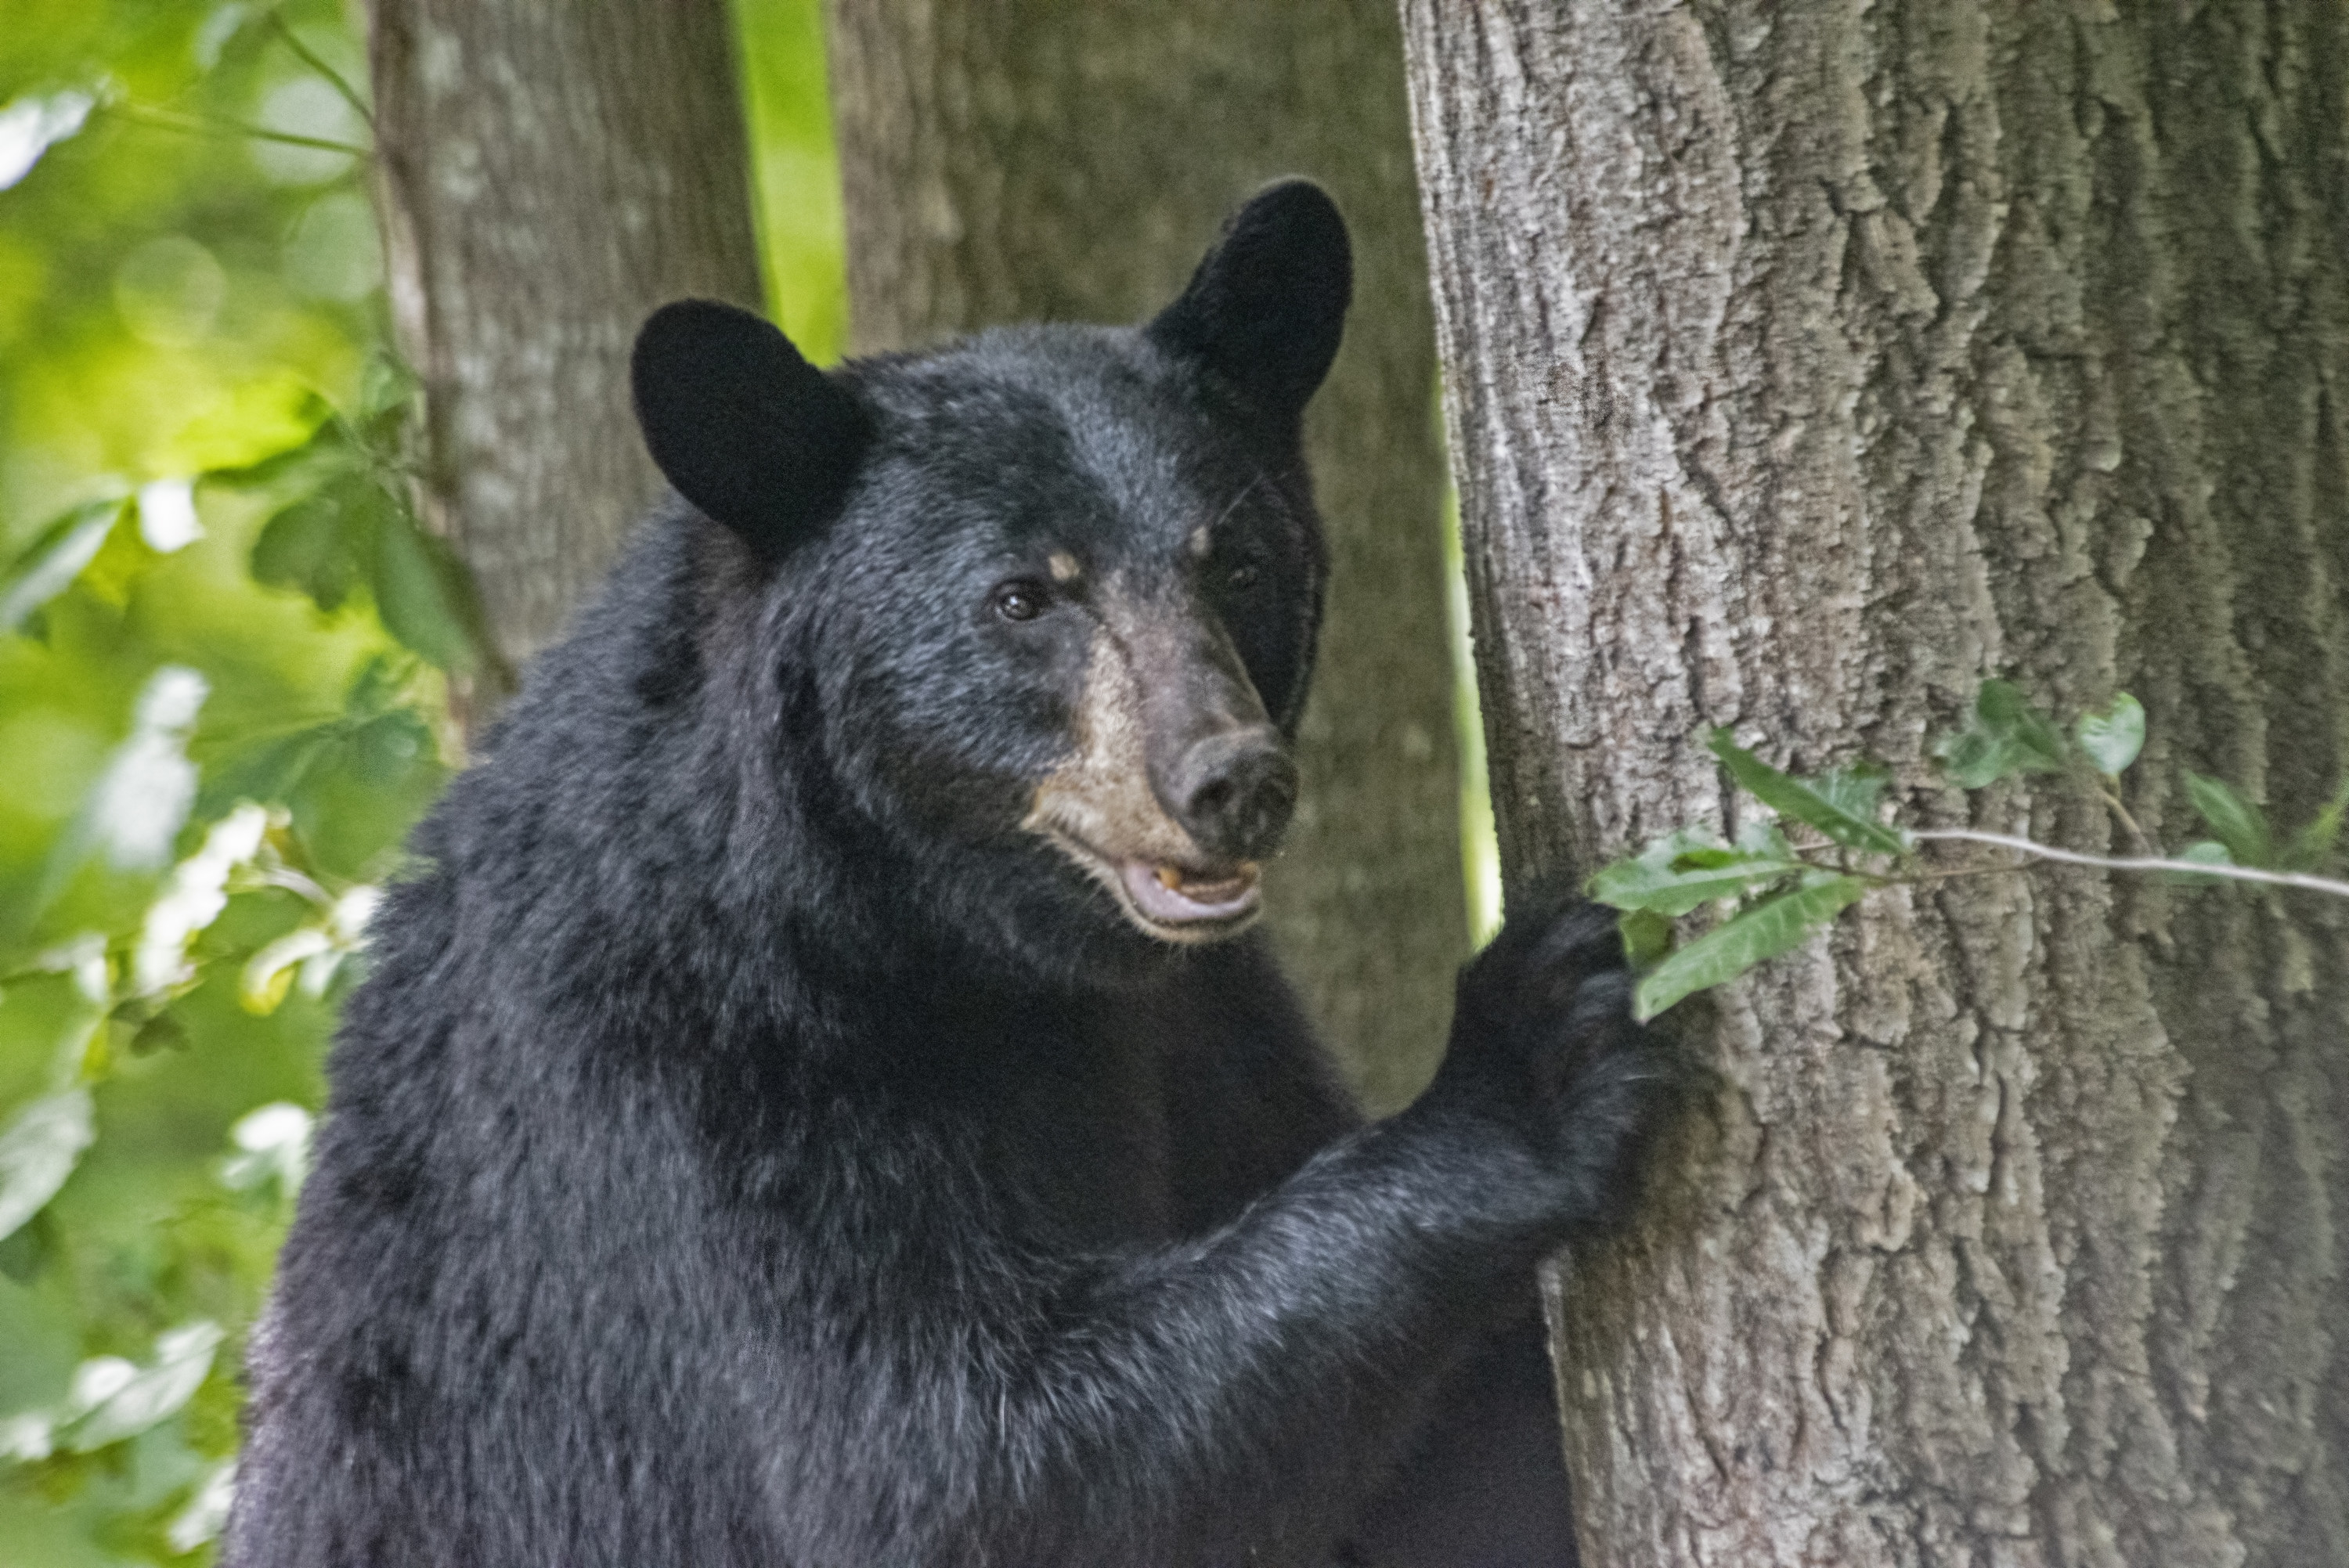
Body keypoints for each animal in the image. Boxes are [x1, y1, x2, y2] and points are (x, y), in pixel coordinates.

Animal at [216, 180, 1654, 1568]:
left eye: (1237, 559)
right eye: (1022, 595)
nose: (1231, 779)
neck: (945, 935)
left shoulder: (1203, 1023)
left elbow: (1455, 1467)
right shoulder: (675, 1072)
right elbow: (941, 1461)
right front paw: (1527, 1058)